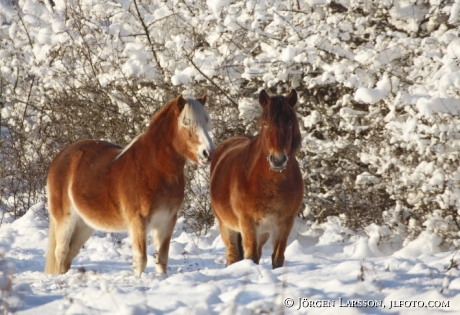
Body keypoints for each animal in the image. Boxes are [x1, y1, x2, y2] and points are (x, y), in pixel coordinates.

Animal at [45, 94, 214, 276]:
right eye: (186, 122)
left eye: (206, 121)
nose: (208, 153)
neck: (153, 169)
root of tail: (61, 156)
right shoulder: (138, 221)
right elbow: (141, 261)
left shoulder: (167, 221)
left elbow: (162, 260)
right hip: (65, 220)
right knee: (61, 253)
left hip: (84, 224)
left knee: (70, 253)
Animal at [210, 90, 304, 270]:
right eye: (265, 124)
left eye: (290, 123)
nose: (278, 160)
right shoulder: (248, 223)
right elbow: (251, 257)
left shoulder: (284, 223)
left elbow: (277, 259)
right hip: (227, 226)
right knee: (233, 255)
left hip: (264, 232)